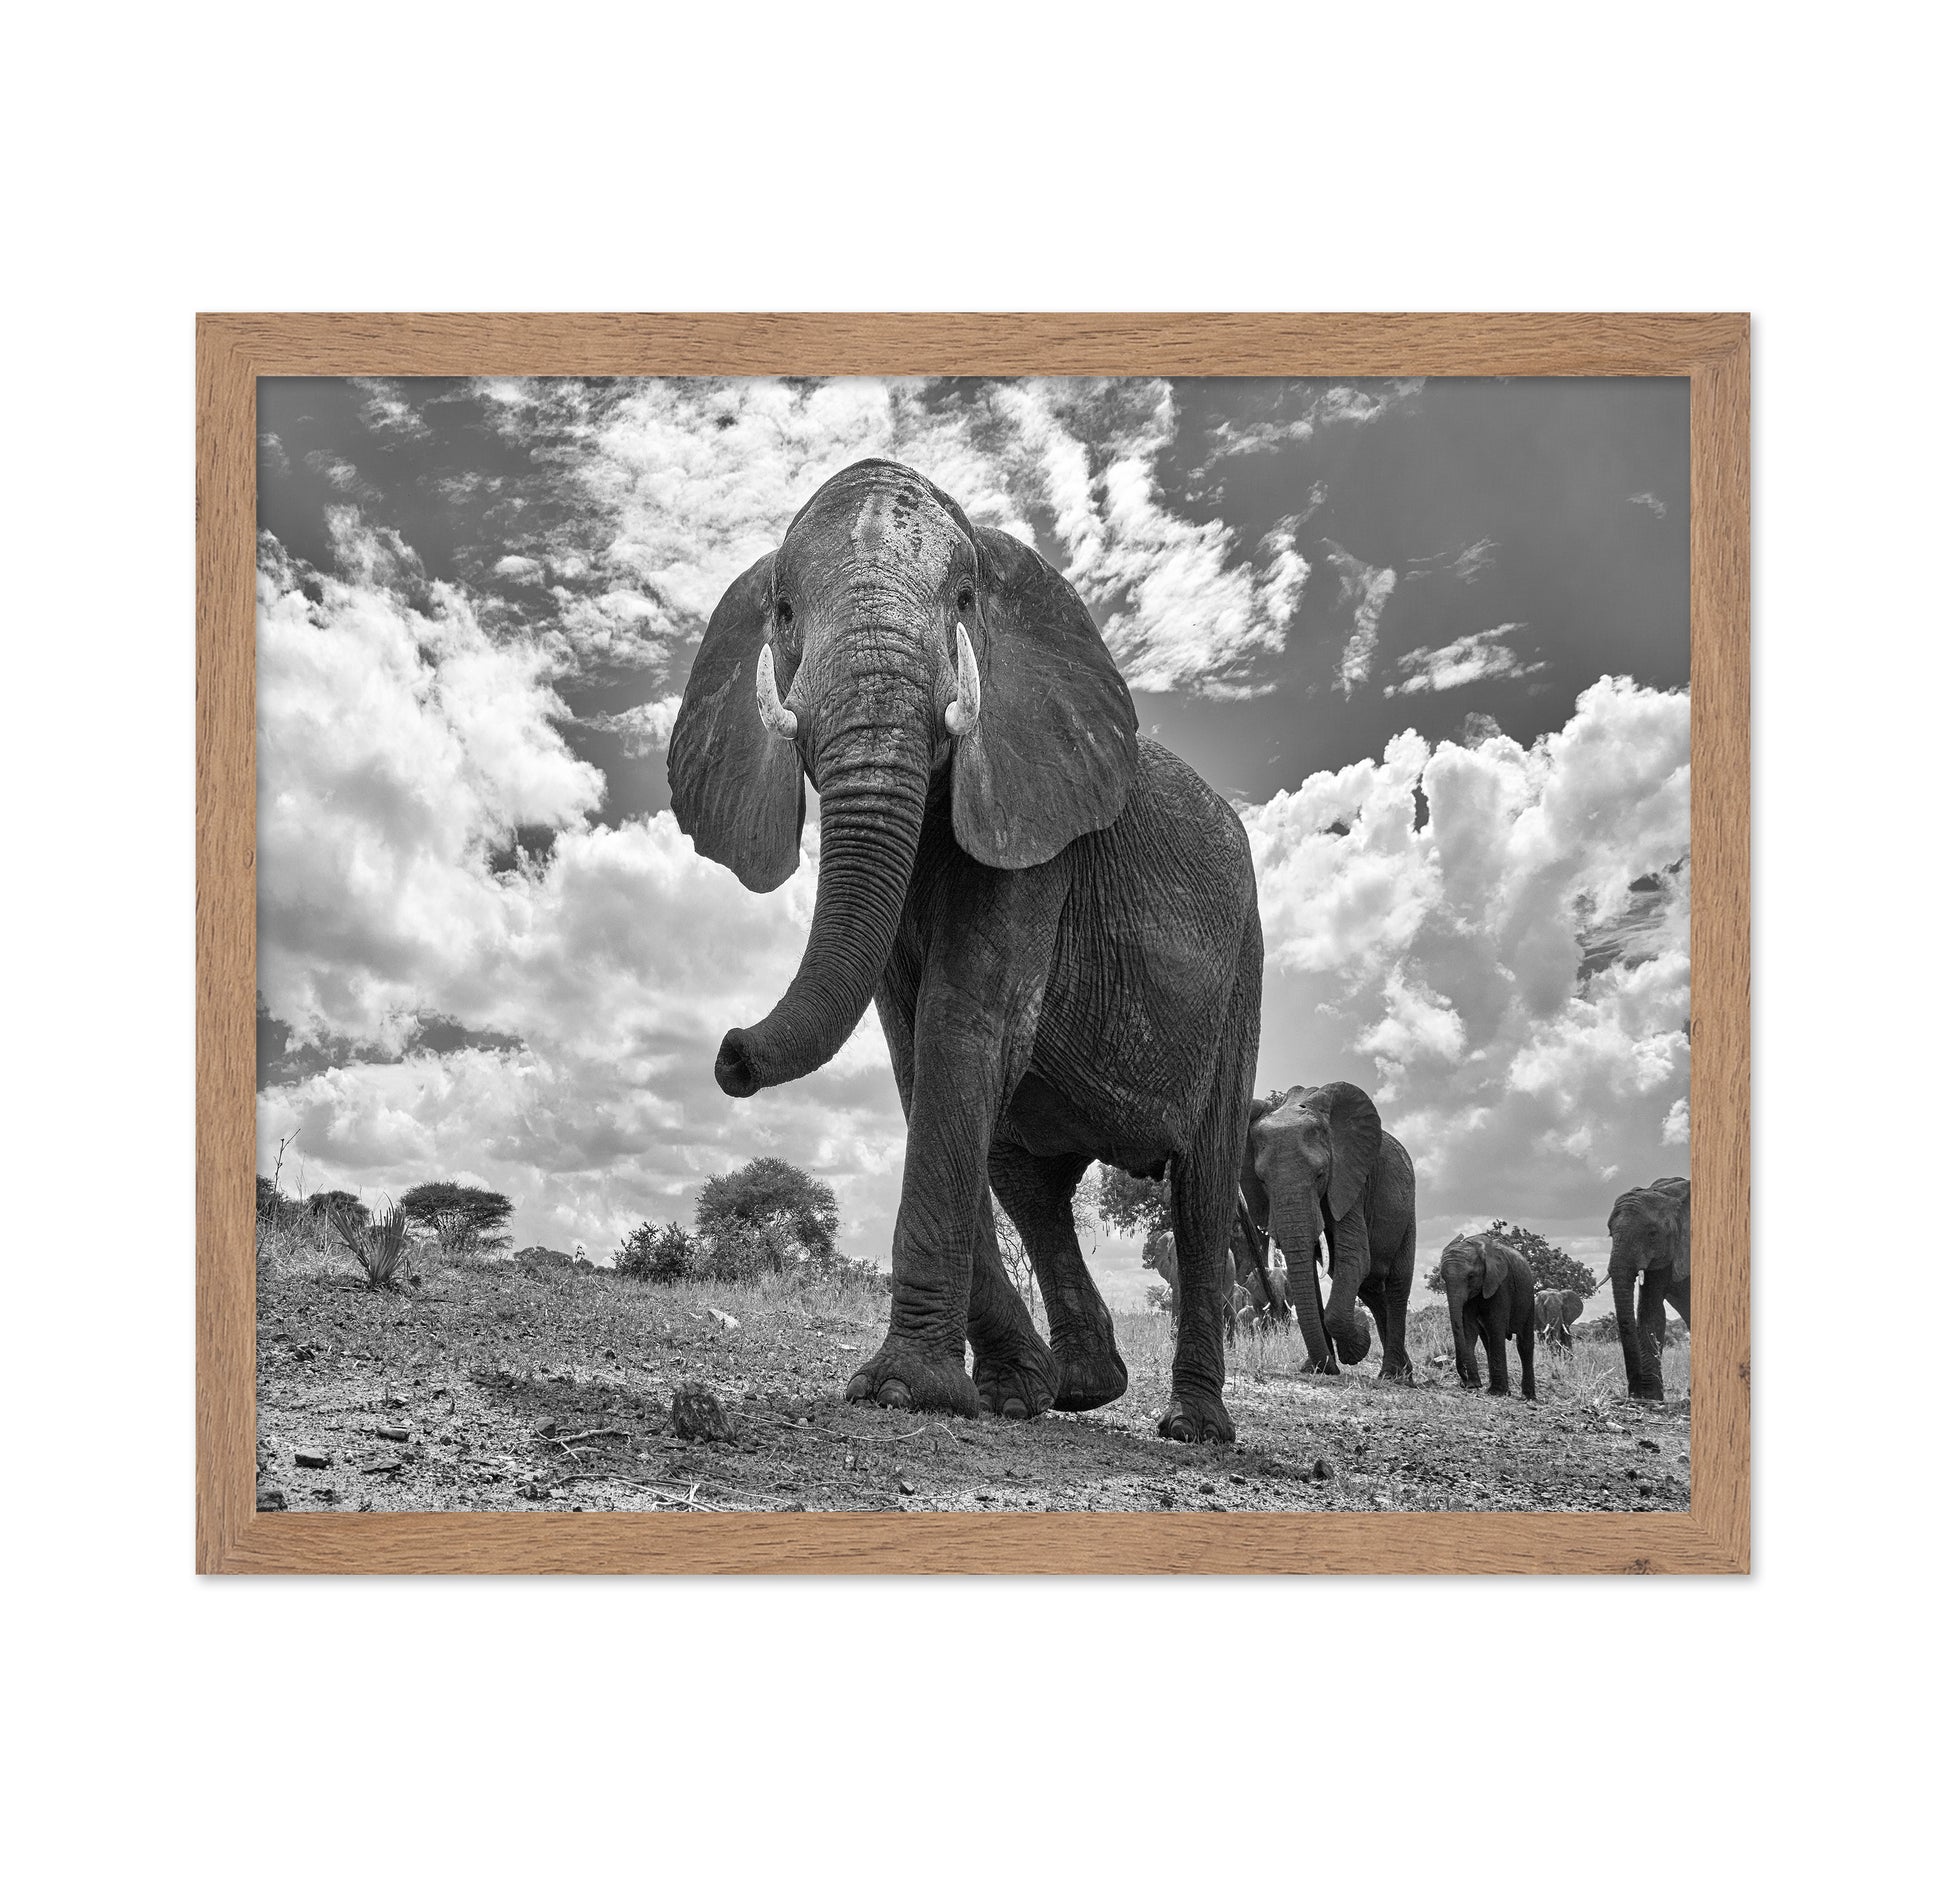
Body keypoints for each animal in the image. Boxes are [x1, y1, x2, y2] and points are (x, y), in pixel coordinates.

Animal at [667, 459, 1263, 1443]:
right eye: (782, 611)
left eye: (964, 599)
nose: (729, 1054)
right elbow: (919, 1059)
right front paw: (1001, 1391)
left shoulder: (1037, 829)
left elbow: (964, 1025)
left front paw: (902, 1390)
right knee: (1029, 1179)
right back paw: (1079, 1389)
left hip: (1244, 965)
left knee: (1204, 1186)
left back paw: (1192, 1427)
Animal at [1236, 1083, 1416, 1379]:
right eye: (1262, 1181)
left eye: (1321, 1174)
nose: (1325, 1368)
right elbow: (1309, 1271)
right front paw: (1318, 1368)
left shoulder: (1350, 1181)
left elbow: (1355, 1257)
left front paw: (1355, 1347)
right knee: (1373, 1291)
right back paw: (1403, 1371)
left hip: (1407, 1213)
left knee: (1397, 1285)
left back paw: (1393, 1375)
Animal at [1433, 1232, 1537, 1399]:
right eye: (1443, 1278)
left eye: (1470, 1276)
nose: (1463, 1381)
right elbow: (1468, 1329)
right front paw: (1473, 1385)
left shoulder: (1500, 1283)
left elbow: (1495, 1326)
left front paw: (1497, 1393)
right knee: (1487, 1340)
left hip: (1528, 1298)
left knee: (1524, 1344)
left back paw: (1528, 1397)